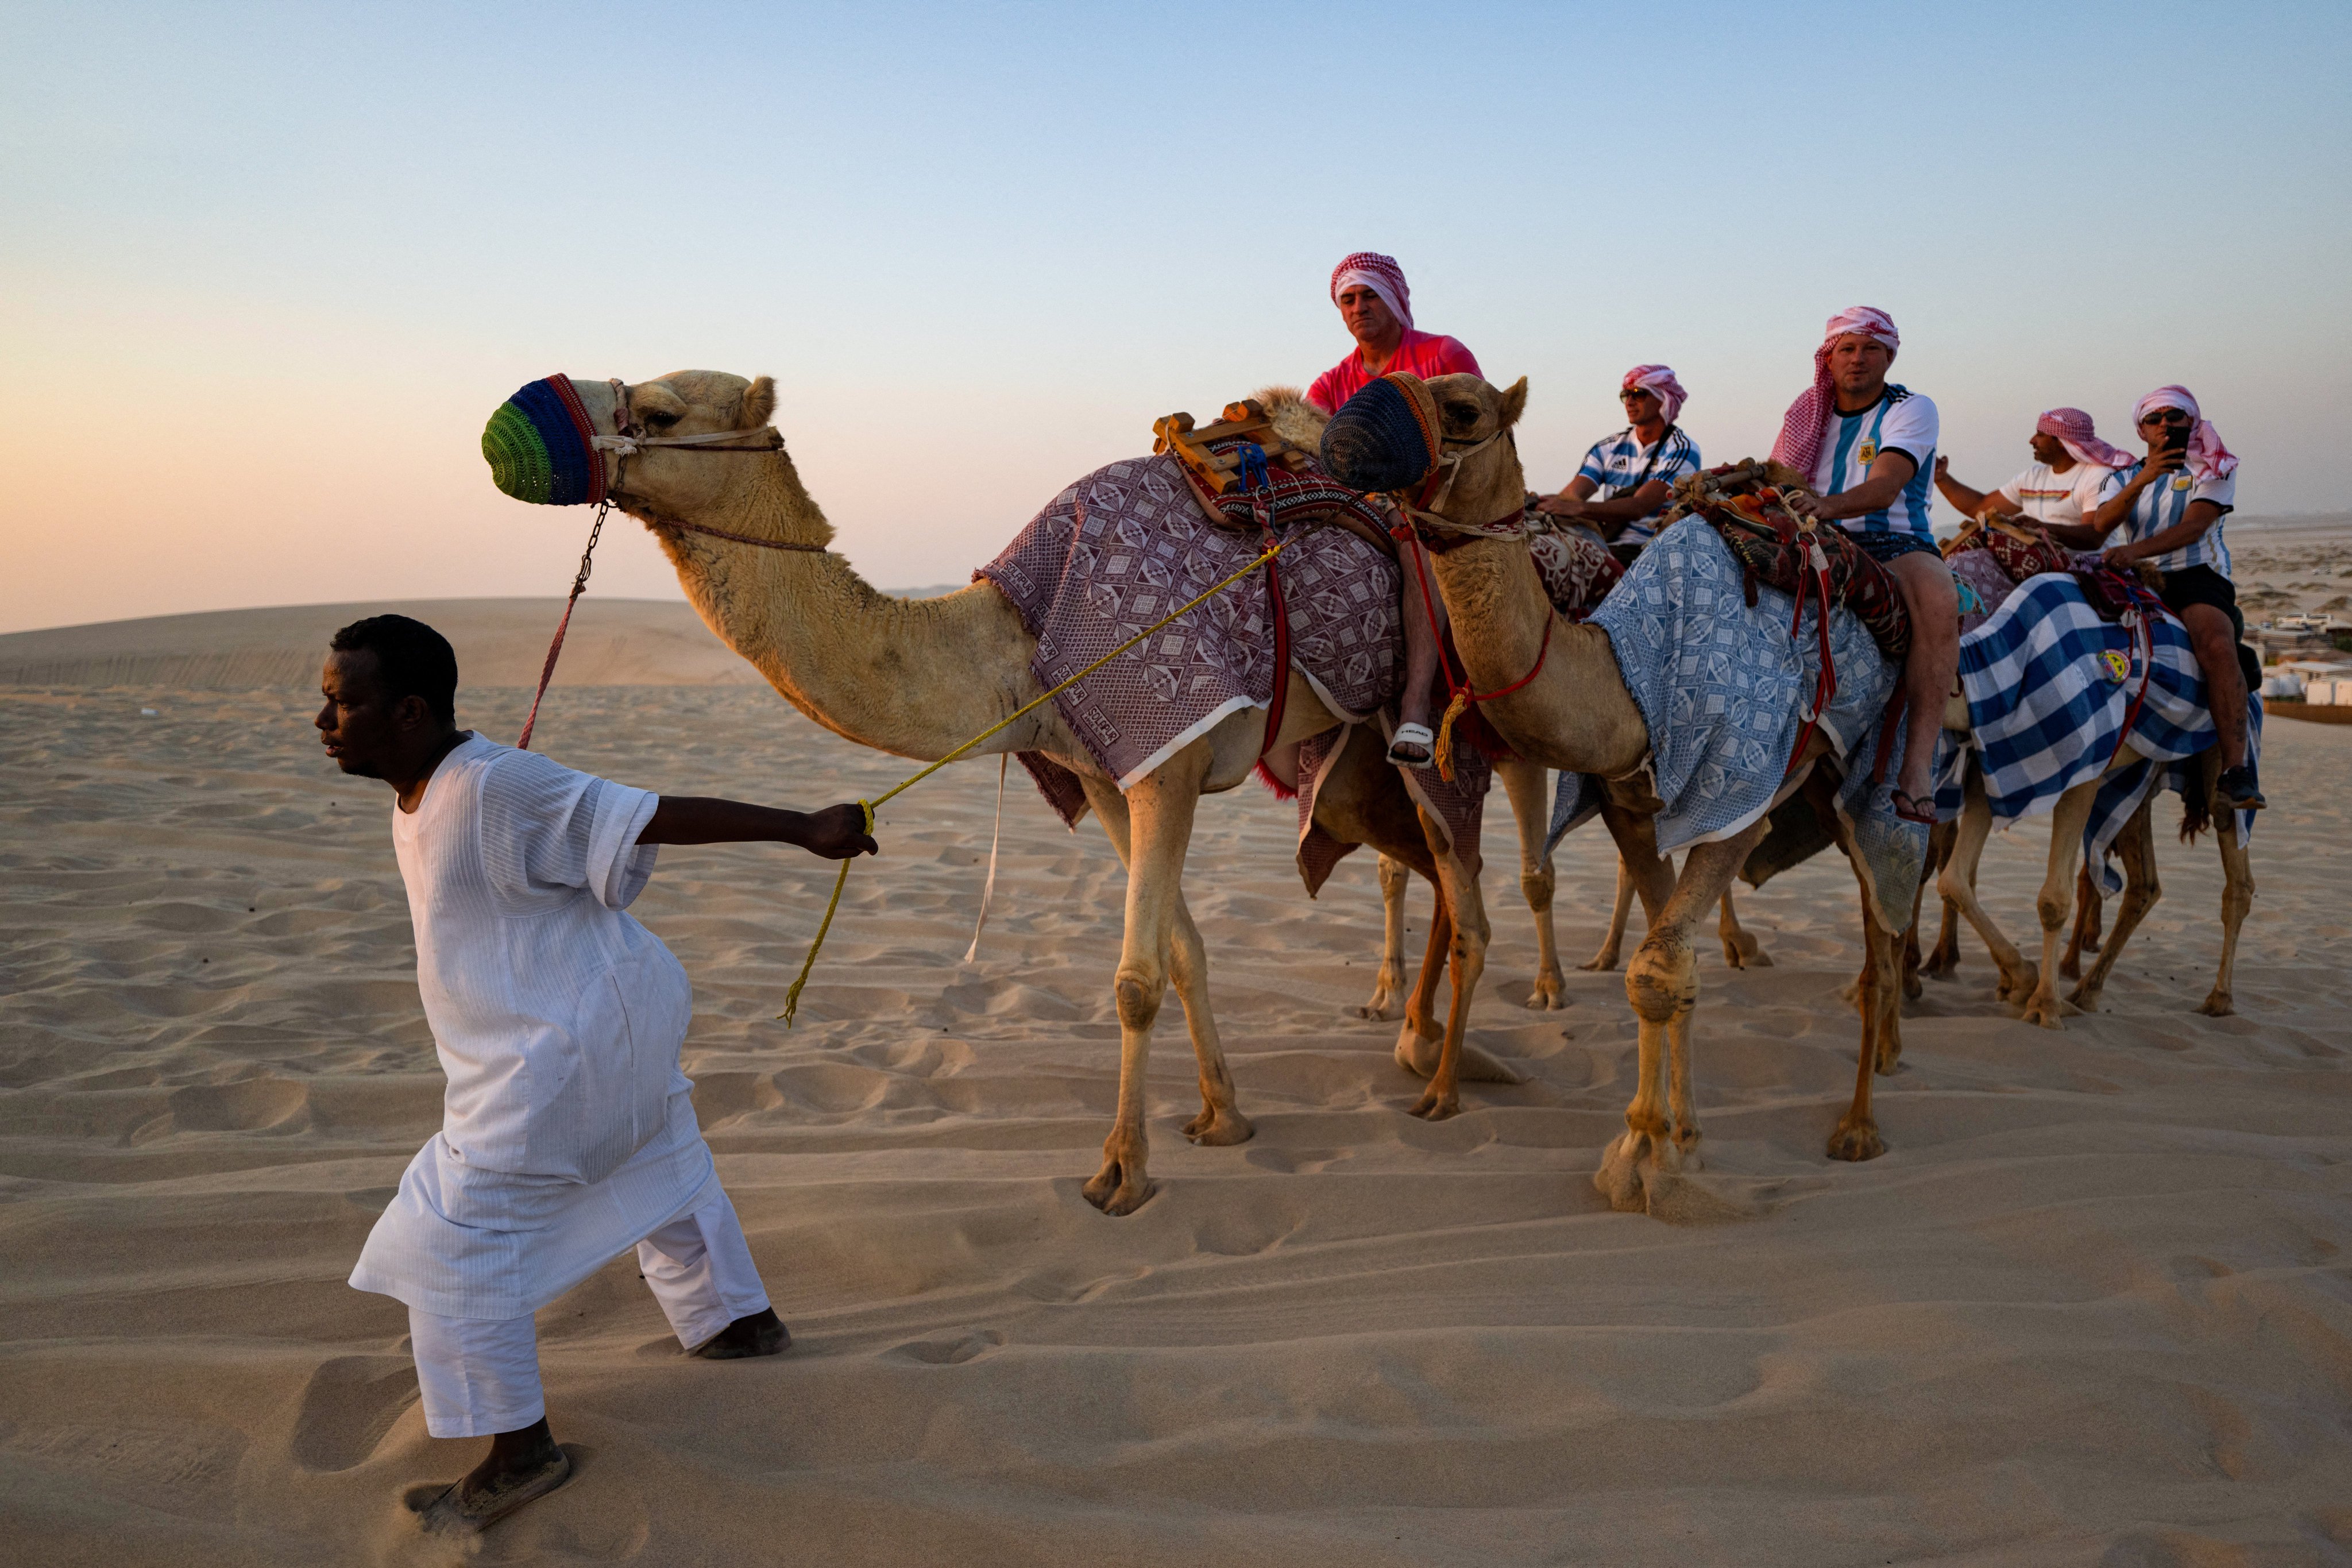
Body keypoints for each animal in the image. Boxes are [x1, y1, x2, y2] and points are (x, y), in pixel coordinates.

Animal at [503, 369, 1515, 1212]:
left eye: (663, 411)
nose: (531, 412)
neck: (1012, 646)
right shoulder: (1104, 773)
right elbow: (1183, 950)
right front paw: (1221, 1117)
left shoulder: (1169, 754)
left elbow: (1135, 978)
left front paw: (1120, 1171)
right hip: (1358, 763)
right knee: (1427, 867)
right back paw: (1432, 1047)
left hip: (1436, 718)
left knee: (1466, 886)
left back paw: (1442, 1082)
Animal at [1317, 373, 1919, 1212]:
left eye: (1464, 408)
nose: (1344, 434)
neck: (1622, 682)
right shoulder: (1633, 809)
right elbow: (1668, 974)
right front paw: (1672, 1140)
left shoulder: (1741, 798)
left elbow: (1658, 968)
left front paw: (1645, 1160)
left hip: (1870, 777)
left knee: (1882, 937)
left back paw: (1860, 1124)